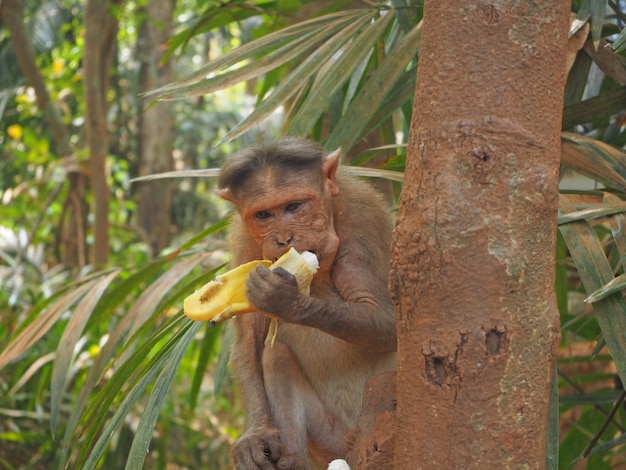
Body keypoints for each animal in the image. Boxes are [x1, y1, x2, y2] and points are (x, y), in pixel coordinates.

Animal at [218, 140, 394, 470]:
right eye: (263, 215)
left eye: (294, 206)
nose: (283, 239)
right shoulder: (244, 240)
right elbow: (250, 340)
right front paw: (255, 435)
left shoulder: (360, 215)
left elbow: (383, 319)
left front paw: (283, 299)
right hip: (329, 441)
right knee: (276, 356)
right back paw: (292, 459)